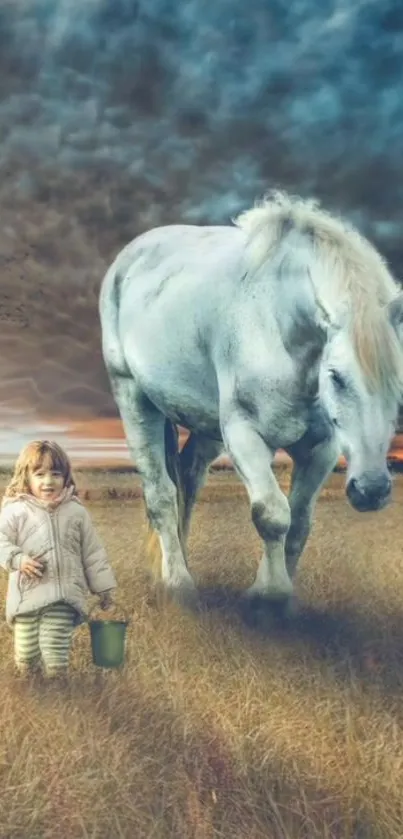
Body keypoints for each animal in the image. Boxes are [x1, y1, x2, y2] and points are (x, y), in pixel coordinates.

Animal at [98, 192, 403, 612]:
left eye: (398, 383)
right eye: (336, 376)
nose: (371, 490)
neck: (279, 324)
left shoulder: (321, 448)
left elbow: (299, 523)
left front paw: (281, 598)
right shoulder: (245, 434)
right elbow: (272, 514)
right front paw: (269, 596)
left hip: (205, 423)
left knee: (187, 480)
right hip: (133, 399)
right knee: (161, 495)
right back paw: (177, 583)